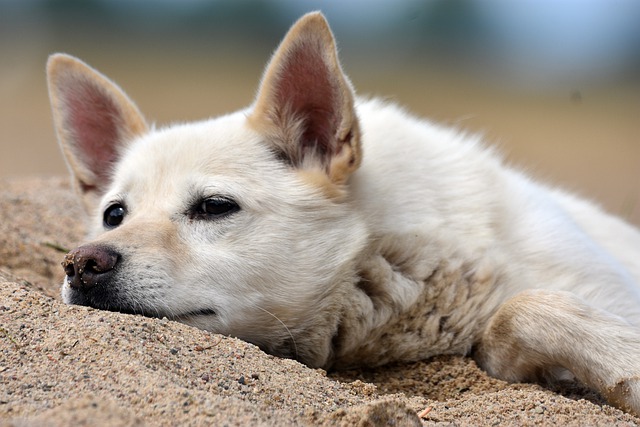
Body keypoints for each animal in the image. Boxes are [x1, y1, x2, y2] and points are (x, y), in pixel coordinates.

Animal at [47, 10, 640, 418]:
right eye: (114, 214)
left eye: (214, 206)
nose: (82, 265)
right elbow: (509, 325)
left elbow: (526, 306)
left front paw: (625, 366)